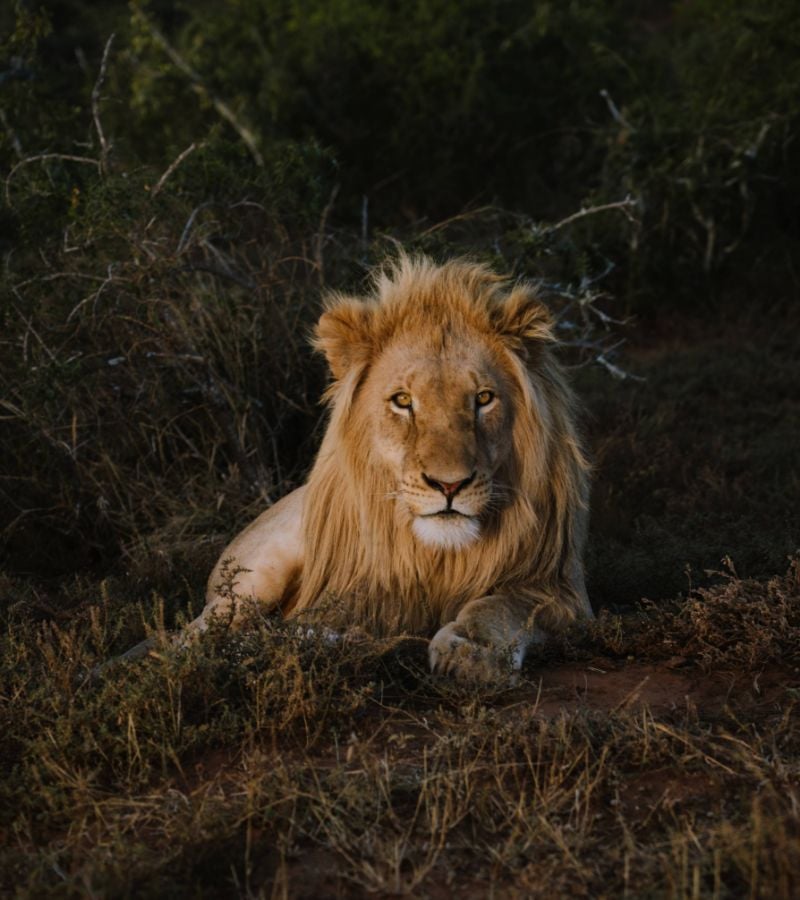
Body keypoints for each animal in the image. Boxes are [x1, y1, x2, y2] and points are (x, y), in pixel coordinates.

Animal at [176, 254, 592, 683]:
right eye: (403, 401)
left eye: (483, 398)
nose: (449, 485)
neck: (441, 556)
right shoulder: (357, 594)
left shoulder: (563, 592)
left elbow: (499, 605)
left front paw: (472, 649)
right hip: (256, 577)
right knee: (193, 636)